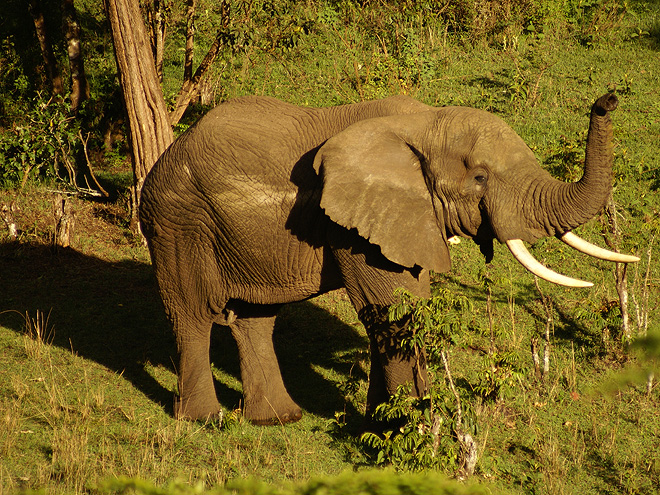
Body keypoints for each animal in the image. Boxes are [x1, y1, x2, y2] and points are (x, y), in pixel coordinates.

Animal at [141, 93, 640, 426]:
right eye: (479, 178)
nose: (608, 100)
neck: (423, 124)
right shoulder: (353, 224)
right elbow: (391, 309)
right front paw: (409, 426)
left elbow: (402, 306)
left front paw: (381, 422)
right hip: (179, 223)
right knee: (193, 313)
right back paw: (204, 421)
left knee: (255, 318)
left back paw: (279, 419)